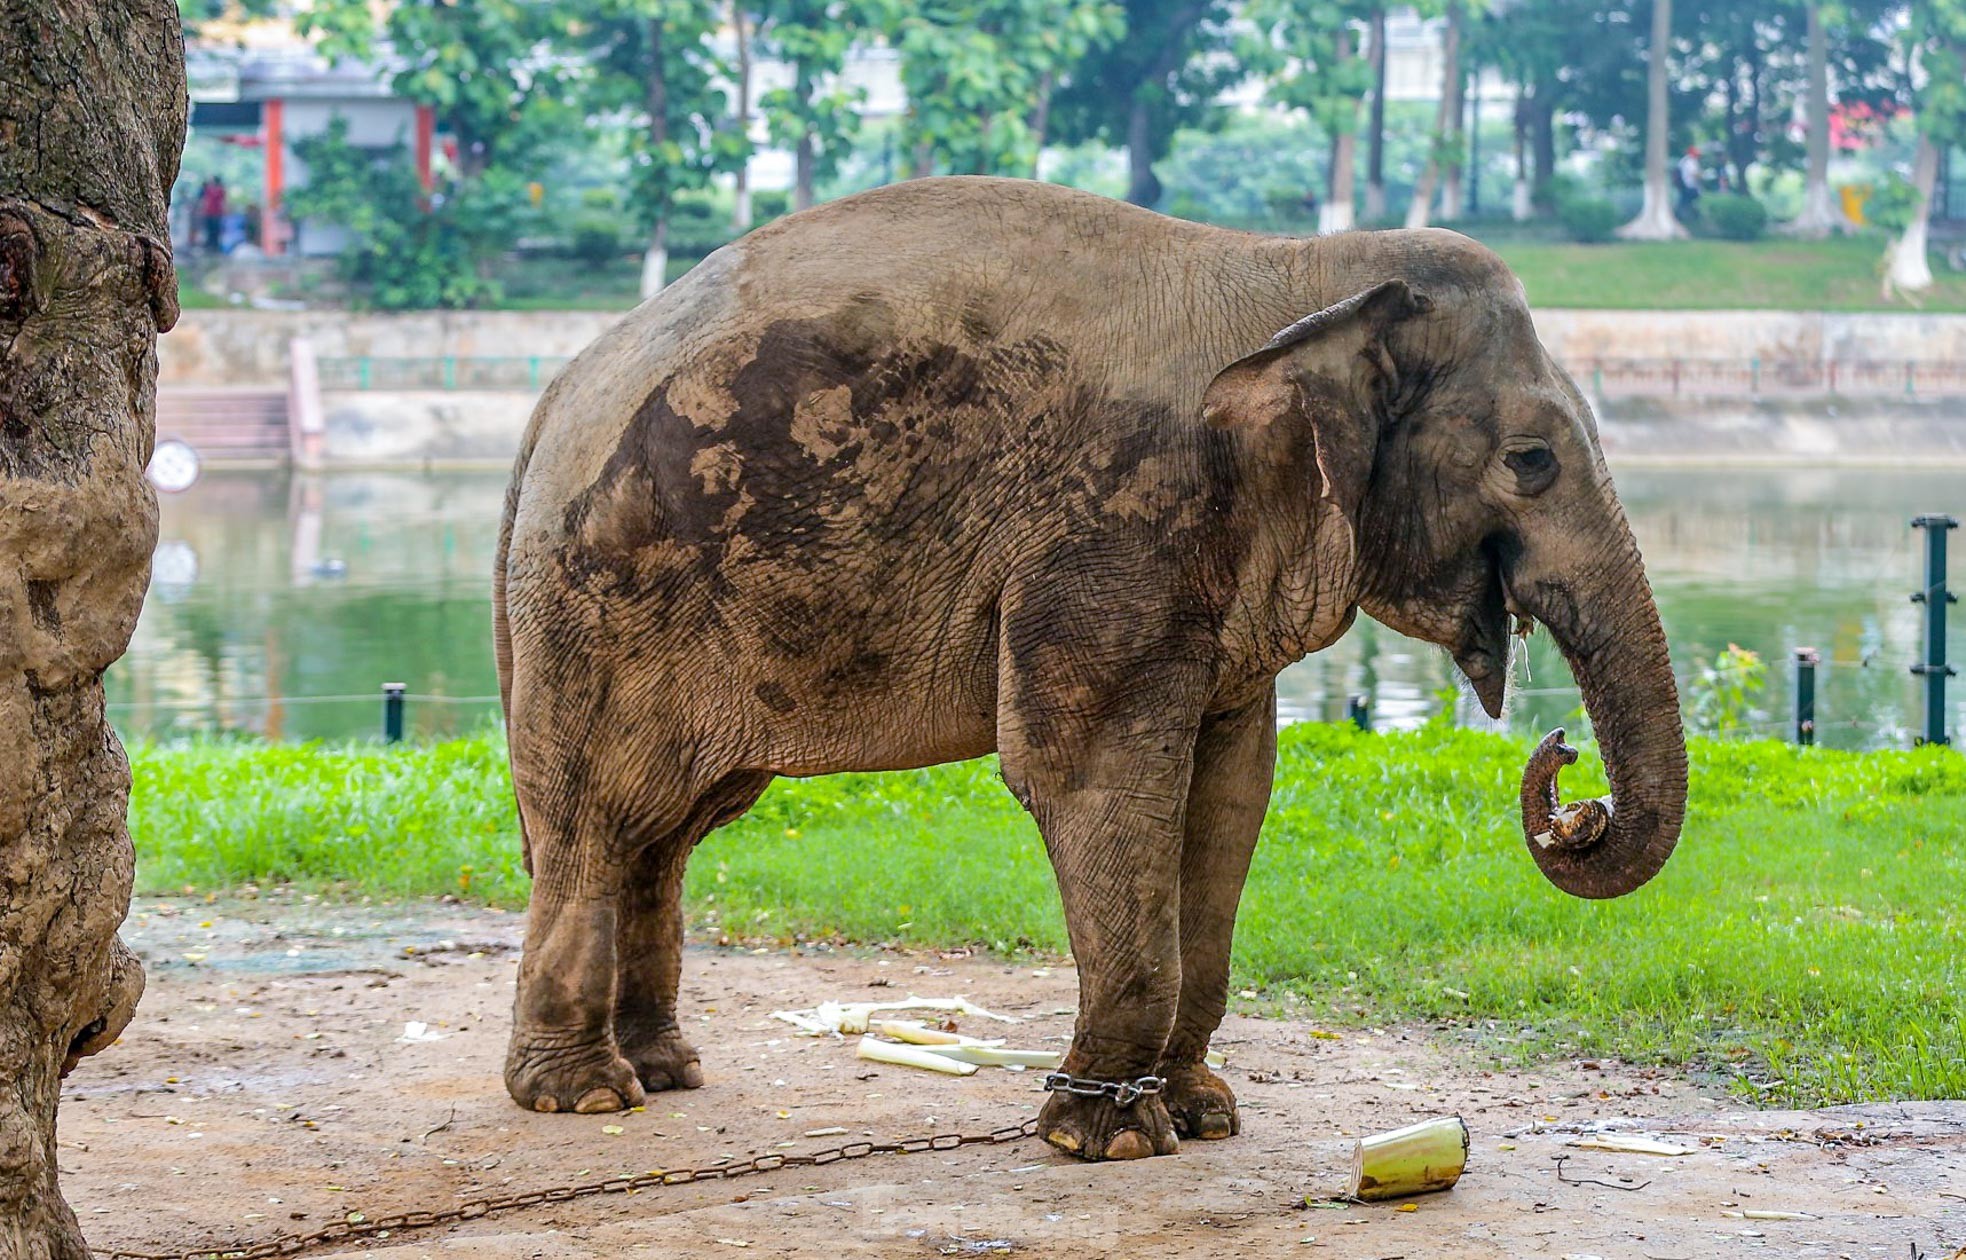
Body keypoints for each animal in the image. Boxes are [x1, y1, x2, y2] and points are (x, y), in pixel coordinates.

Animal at [495, 174, 1690, 1163]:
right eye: (1529, 461)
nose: (1568, 778)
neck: (1303, 271)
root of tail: (555, 394)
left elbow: (1231, 792)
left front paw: (1201, 1115)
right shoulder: (1107, 534)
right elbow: (1090, 778)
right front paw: (1104, 1137)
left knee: (667, 830)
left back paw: (664, 1072)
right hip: (600, 595)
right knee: (598, 820)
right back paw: (584, 1095)